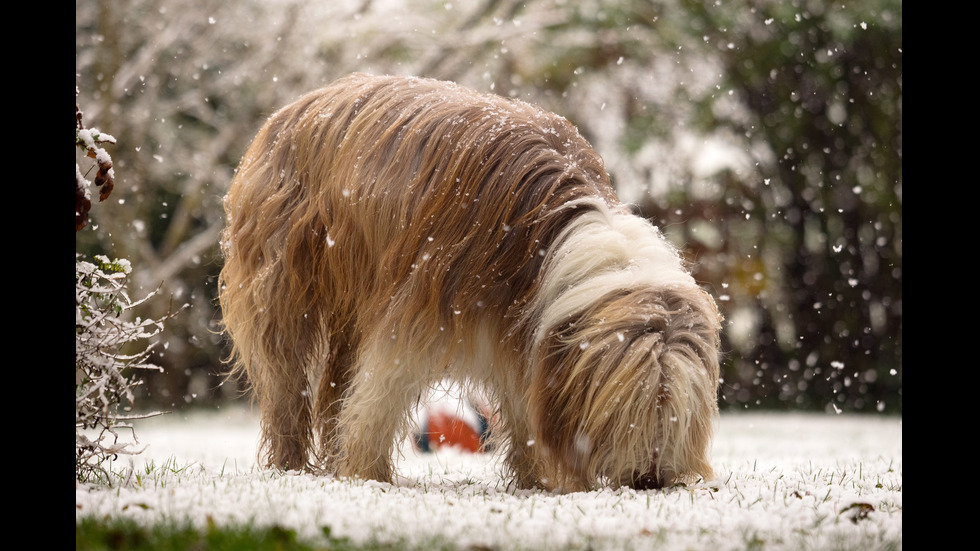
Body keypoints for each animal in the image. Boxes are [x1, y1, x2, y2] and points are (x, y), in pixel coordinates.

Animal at [224, 73, 728, 492]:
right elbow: (381, 391)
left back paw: (330, 458)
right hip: (283, 284)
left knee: (335, 383)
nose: (651, 479)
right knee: (287, 380)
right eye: (629, 408)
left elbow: (525, 405)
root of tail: (293, 108)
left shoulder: (522, 331)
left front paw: (538, 480)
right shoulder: (420, 309)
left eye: (676, 413)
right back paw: (292, 464)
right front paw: (368, 475)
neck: (549, 234)